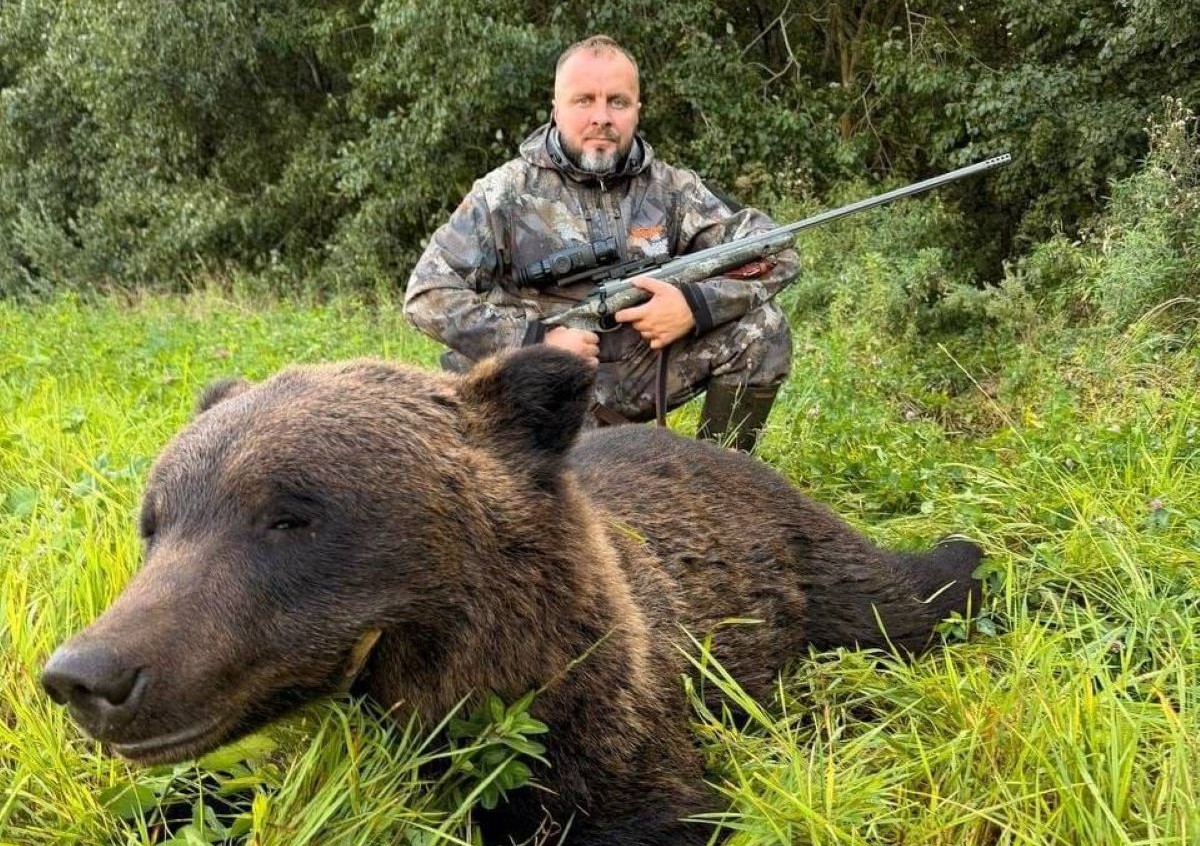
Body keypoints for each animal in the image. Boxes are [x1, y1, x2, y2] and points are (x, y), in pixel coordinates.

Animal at [43, 346, 981, 845]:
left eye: (288, 516)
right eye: (155, 522)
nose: (87, 674)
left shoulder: (605, 732)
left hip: (814, 568)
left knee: (902, 600)